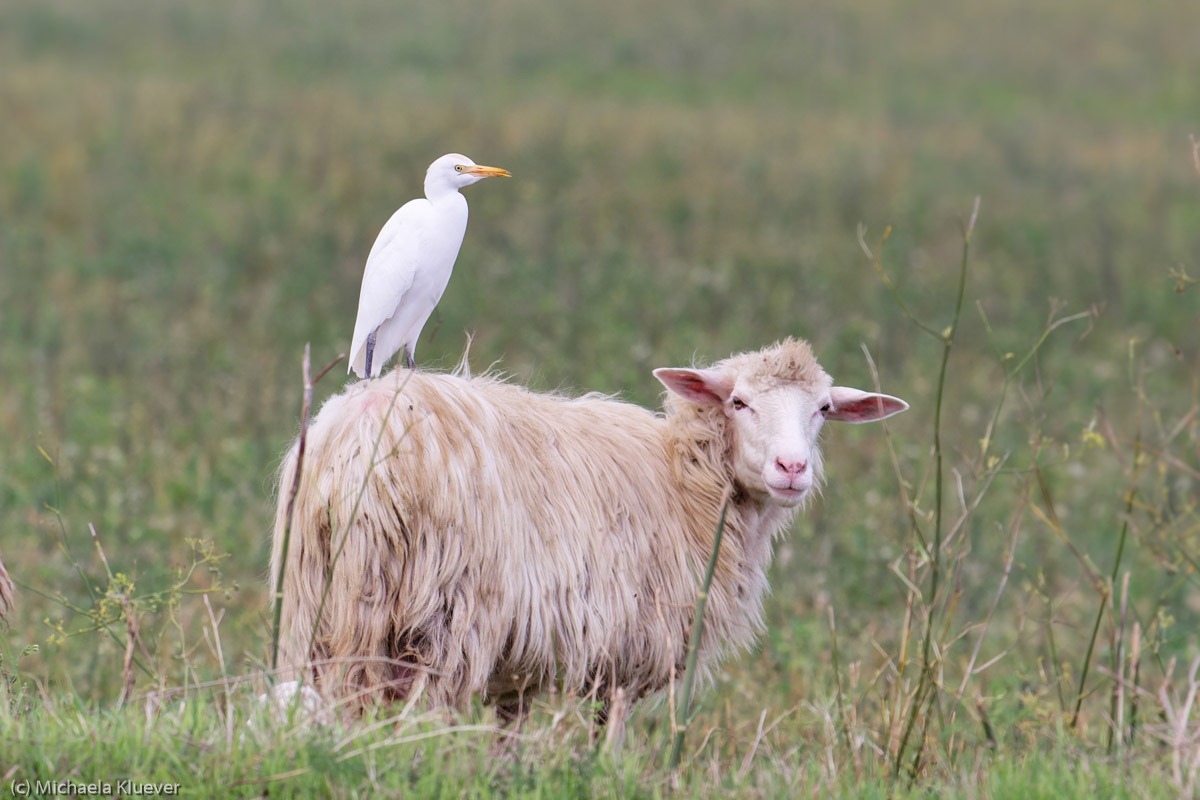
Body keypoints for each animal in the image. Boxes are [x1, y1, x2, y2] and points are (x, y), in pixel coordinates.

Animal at [269, 337, 907, 723]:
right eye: (740, 403)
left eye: (823, 409)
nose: (792, 468)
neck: (686, 482)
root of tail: (360, 438)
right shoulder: (629, 652)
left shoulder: (518, 665)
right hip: (440, 618)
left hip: (322, 610)